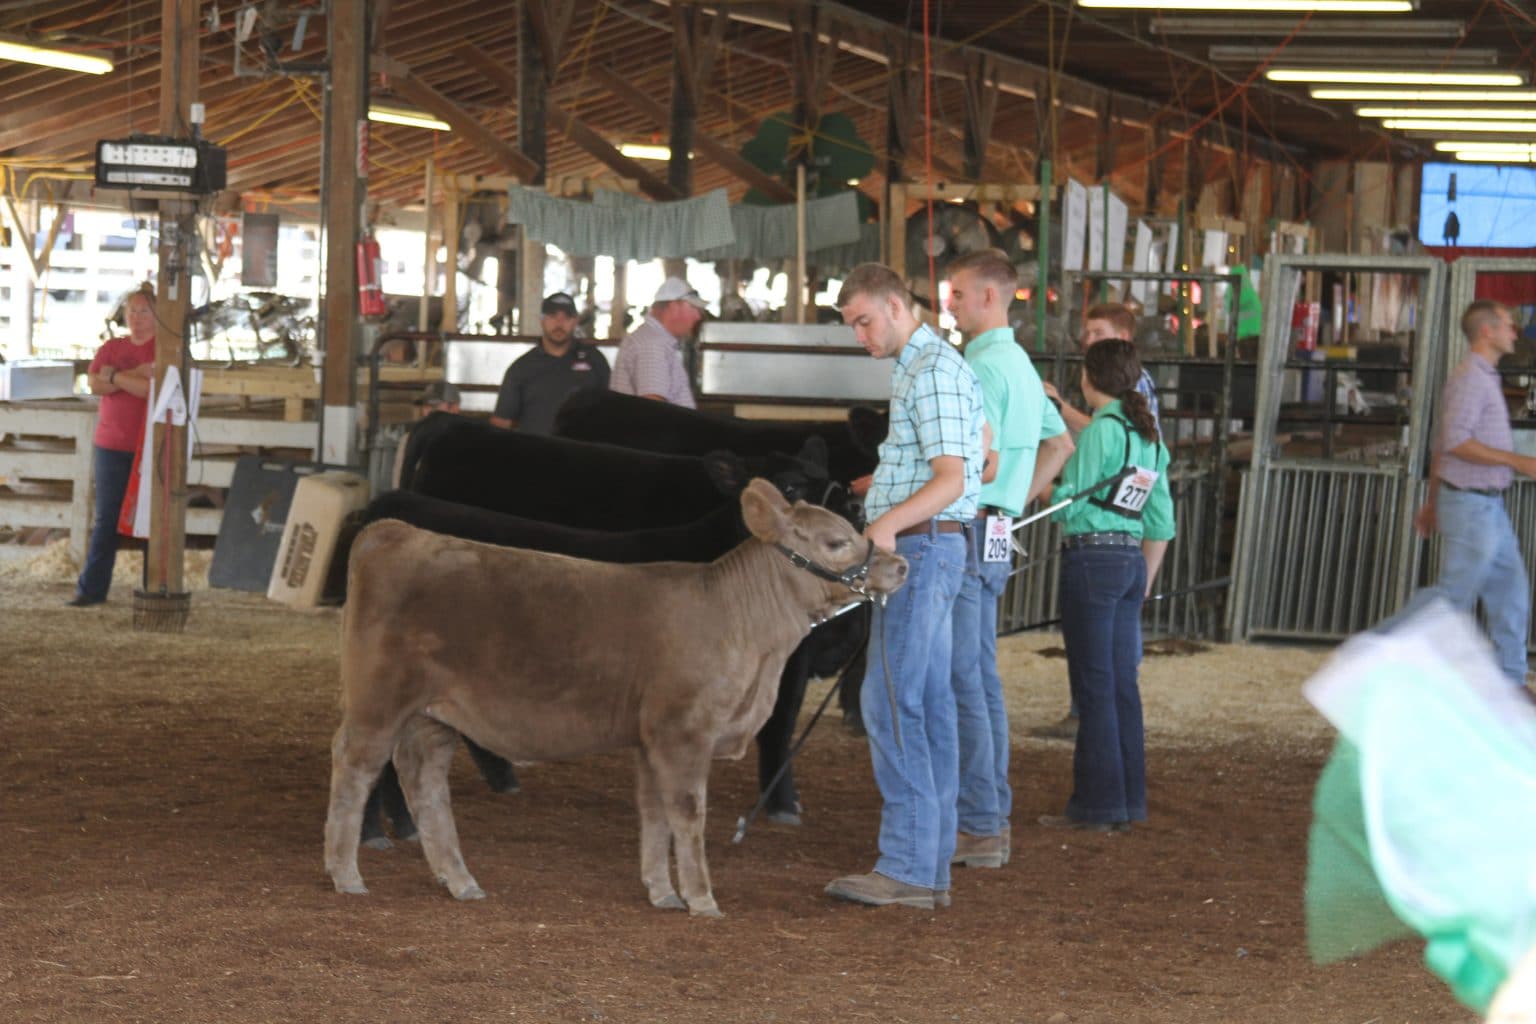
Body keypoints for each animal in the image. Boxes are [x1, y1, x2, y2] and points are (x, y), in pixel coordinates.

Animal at [321, 475, 897, 914]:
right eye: (835, 541)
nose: (899, 564)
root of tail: (394, 533)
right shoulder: (682, 733)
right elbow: (688, 814)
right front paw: (702, 899)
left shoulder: (651, 741)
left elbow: (655, 814)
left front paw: (663, 893)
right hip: (379, 702)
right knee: (356, 768)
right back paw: (346, 872)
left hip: (432, 716)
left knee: (424, 784)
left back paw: (459, 880)